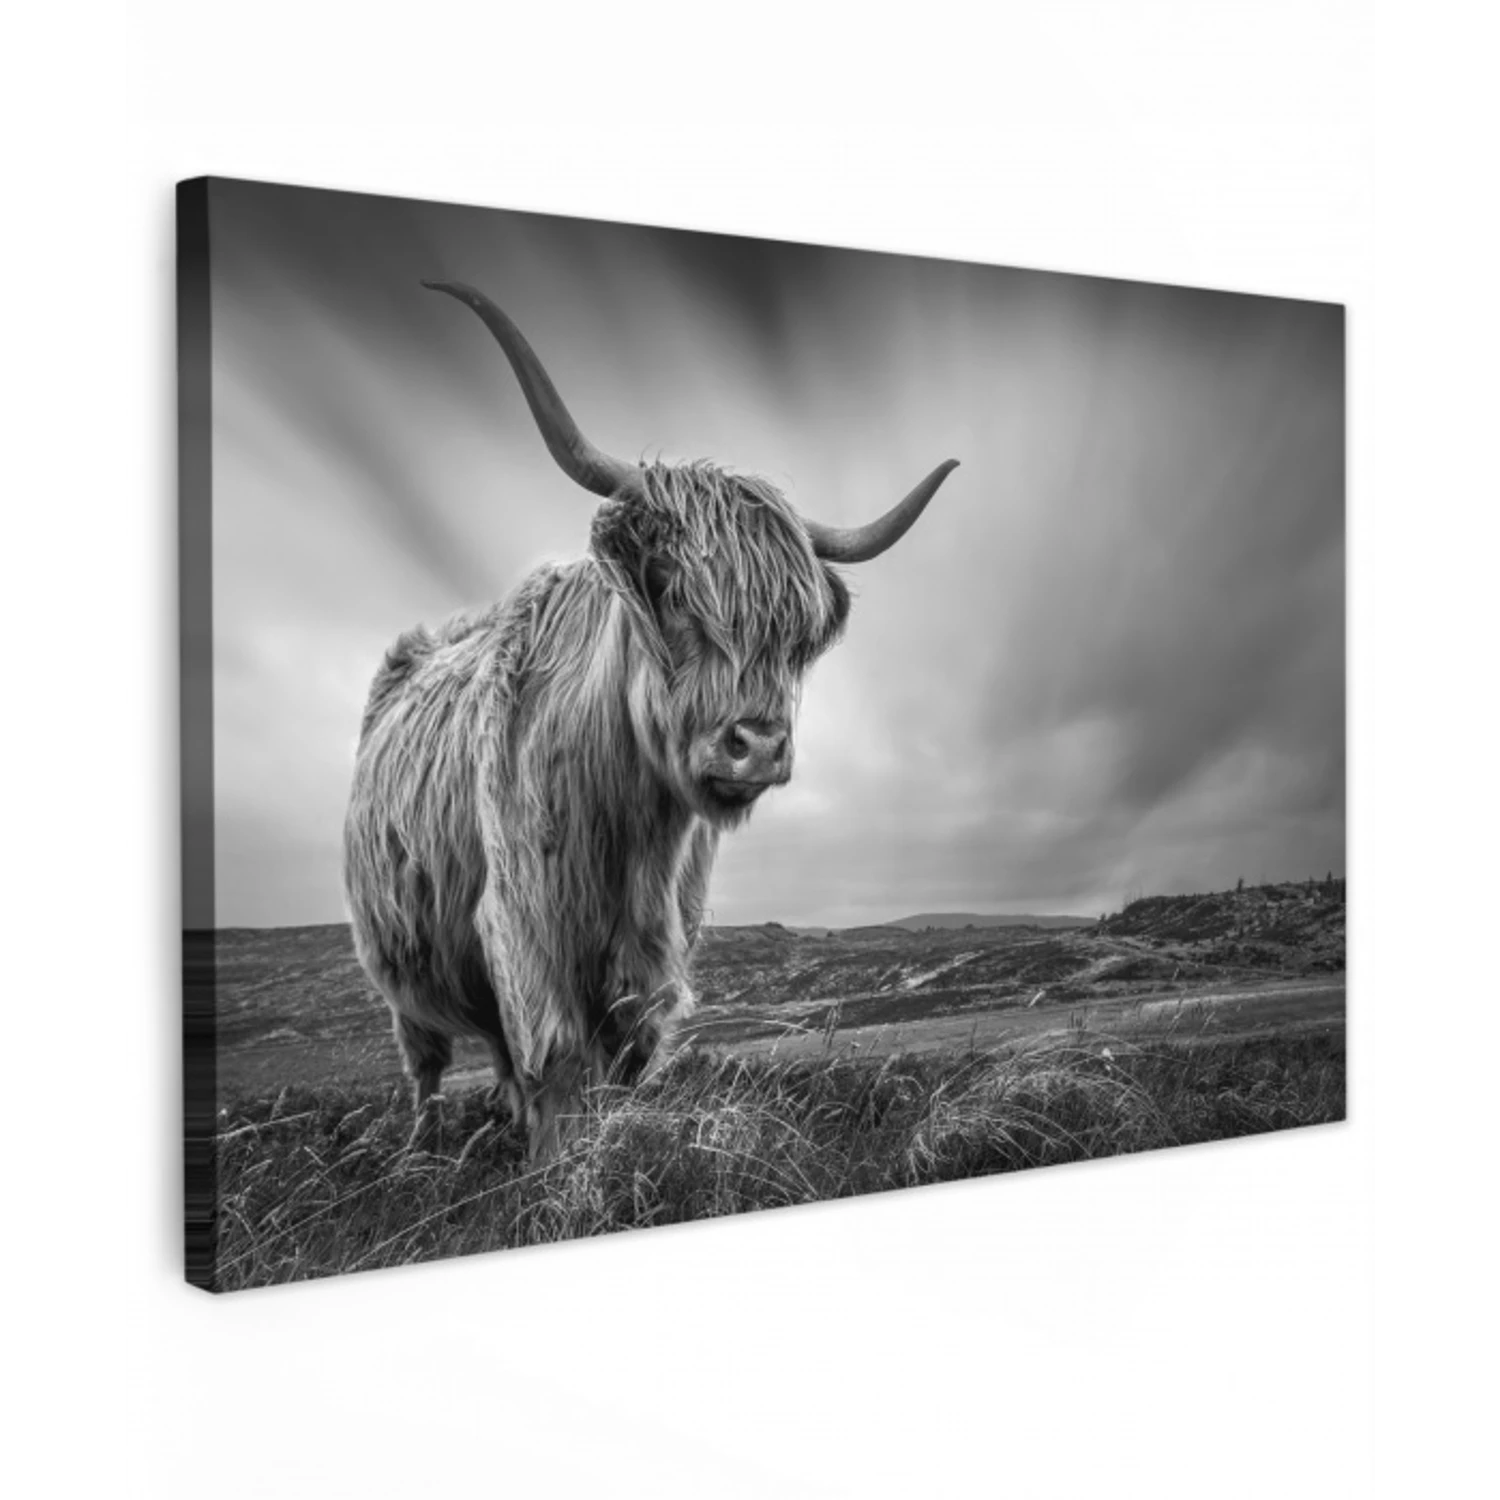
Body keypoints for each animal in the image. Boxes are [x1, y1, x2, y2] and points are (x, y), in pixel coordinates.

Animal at [342, 281, 958, 1161]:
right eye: (668, 586)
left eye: (797, 631)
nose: (757, 746)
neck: (630, 828)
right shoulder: (525, 924)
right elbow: (559, 1057)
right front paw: (557, 1168)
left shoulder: (661, 940)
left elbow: (624, 1054)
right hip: (395, 959)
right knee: (424, 1058)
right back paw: (421, 1149)